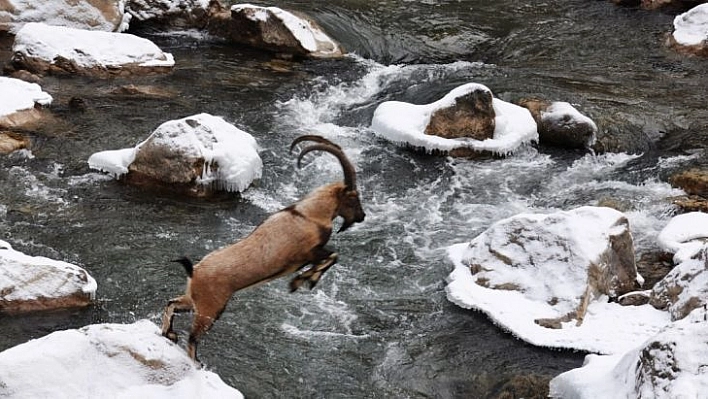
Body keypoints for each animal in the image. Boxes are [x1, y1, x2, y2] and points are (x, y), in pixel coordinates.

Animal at [160, 135, 366, 362]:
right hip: (211, 308)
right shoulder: (307, 252)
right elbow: (333, 255)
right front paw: (302, 281)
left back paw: (169, 334)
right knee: (192, 338)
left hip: (193, 300)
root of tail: (194, 271)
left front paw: (301, 281)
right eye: (353, 197)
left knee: (172, 303)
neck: (307, 215)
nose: (362, 216)